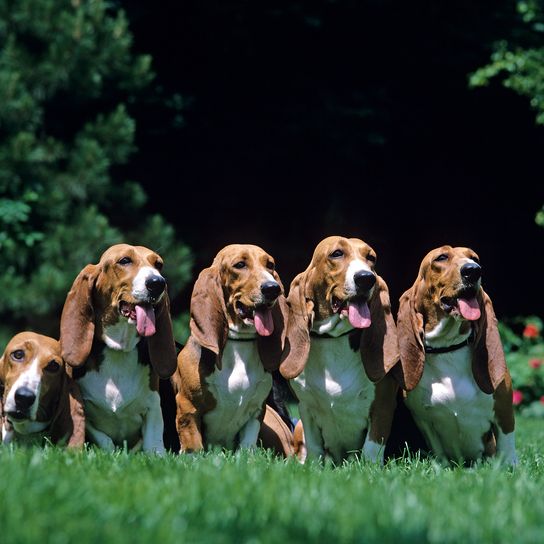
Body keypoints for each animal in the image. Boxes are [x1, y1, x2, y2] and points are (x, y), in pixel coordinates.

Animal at [60, 244, 177, 452]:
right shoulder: (84, 411)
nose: (158, 283)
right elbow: (104, 440)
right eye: (124, 261)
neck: (119, 350)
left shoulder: (153, 406)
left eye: (158, 264)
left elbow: (153, 442)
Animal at [174, 243, 294, 454]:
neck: (239, 344)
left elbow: (246, 447)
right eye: (240, 265)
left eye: (270, 265)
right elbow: (194, 447)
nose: (273, 288)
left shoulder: (256, 412)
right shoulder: (187, 408)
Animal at [280, 234, 400, 464]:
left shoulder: (383, 406)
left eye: (371, 258)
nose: (366, 278)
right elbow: (315, 448)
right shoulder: (305, 408)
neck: (334, 340)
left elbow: (371, 450)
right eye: (337, 253)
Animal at [394, 244, 516, 466]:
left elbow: (507, 450)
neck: (448, 348)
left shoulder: (504, 409)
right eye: (441, 257)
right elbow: (440, 454)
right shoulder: (424, 421)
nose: (474, 270)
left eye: (474, 258)